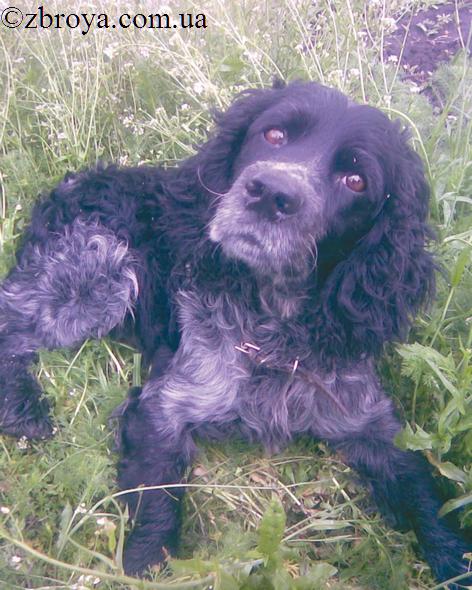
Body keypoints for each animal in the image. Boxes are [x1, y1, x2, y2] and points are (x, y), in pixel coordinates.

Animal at [0, 80, 470, 586]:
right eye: (275, 134)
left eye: (357, 181)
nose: (270, 193)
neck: (272, 331)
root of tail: (75, 178)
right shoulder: (164, 405)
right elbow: (155, 513)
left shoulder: (372, 424)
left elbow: (426, 498)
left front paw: (456, 563)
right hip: (97, 270)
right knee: (13, 321)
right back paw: (22, 407)